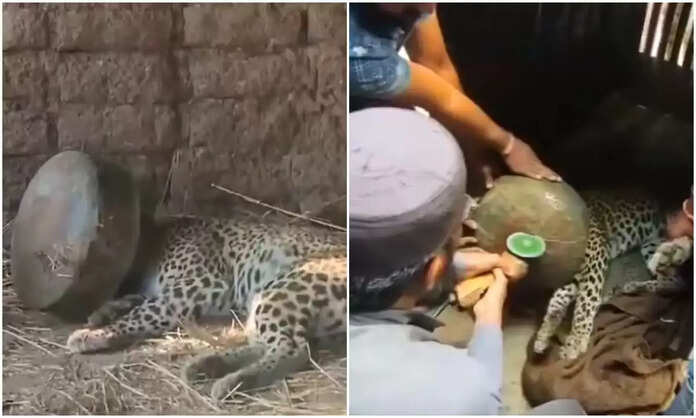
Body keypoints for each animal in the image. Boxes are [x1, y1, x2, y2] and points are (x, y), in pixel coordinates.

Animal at [66, 216, 347, 400]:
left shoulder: (203, 284)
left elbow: (147, 311)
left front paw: (95, 334)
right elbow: (139, 299)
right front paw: (103, 312)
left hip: (284, 287)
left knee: (295, 348)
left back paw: (231, 381)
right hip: (265, 299)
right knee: (268, 343)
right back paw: (206, 365)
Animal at [533, 191, 692, 360]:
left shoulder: (595, 258)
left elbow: (586, 301)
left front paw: (576, 341)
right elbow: (559, 297)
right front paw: (546, 331)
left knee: (678, 281)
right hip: (651, 245)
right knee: (675, 281)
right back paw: (636, 286)